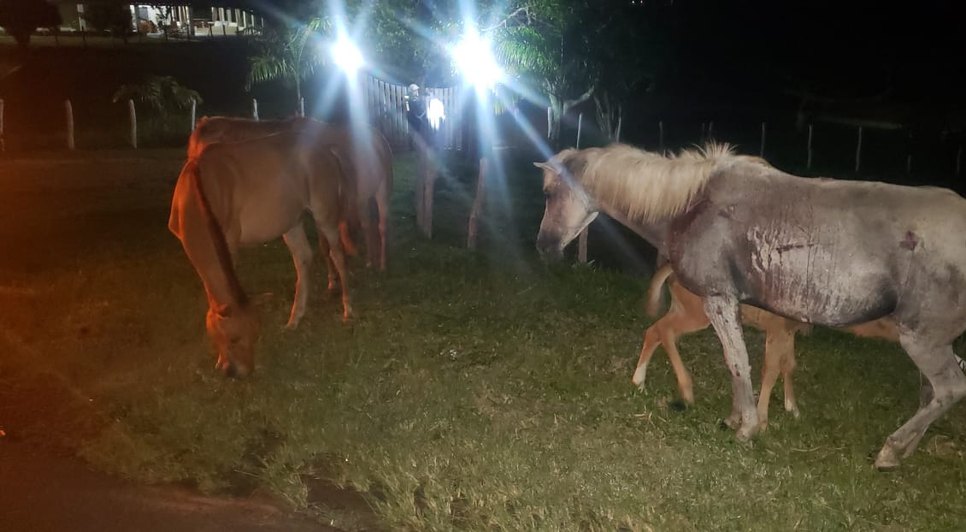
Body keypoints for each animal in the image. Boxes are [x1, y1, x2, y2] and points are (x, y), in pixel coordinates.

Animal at [169, 130, 353, 378]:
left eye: (255, 334)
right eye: (234, 338)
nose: (243, 373)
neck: (199, 185)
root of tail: (327, 150)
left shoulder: (229, 241)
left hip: (325, 214)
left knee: (338, 256)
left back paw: (347, 310)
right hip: (291, 220)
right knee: (303, 258)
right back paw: (295, 318)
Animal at [188, 116, 393, 271]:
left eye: (200, 156)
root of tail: (378, 136)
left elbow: (326, 245)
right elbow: (325, 245)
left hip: (381, 189)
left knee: (381, 224)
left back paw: (381, 263)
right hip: (363, 197)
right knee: (368, 224)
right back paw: (370, 260)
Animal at [639, 262, 900, 428]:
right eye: (883, 318)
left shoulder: (787, 330)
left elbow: (788, 364)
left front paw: (792, 408)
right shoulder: (776, 327)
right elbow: (771, 367)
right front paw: (763, 420)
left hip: (682, 306)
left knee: (655, 329)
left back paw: (638, 381)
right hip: (696, 312)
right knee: (665, 331)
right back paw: (686, 391)